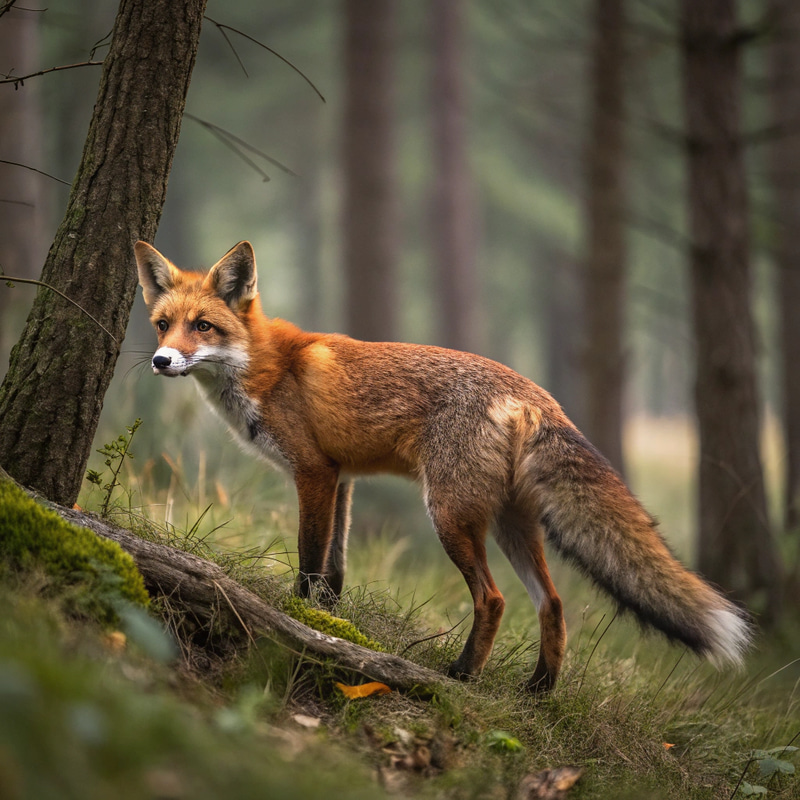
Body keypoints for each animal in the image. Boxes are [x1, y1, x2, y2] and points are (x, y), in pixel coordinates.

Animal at [134, 239, 751, 692]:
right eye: (163, 324)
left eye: (203, 326)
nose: (161, 361)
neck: (264, 366)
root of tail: (534, 394)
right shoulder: (343, 479)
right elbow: (335, 571)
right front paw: (330, 624)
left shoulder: (314, 474)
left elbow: (310, 563)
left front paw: (299, 616)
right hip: (510, 526)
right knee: (551, 603)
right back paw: (540, 691)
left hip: (450, 515)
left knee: (494, 599)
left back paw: (462, 674)